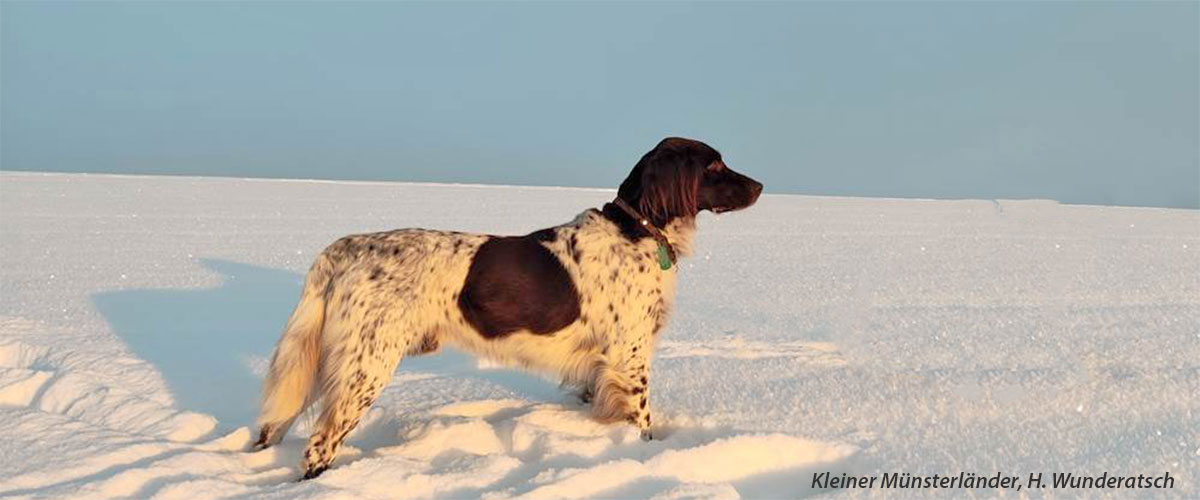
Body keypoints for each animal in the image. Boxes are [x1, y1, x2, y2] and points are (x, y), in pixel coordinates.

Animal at [255, 137, 758, 479]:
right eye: (714, 164)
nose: (760, 184)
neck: (636, 229)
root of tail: (346, 248)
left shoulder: (600, 368)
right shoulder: (628, 356)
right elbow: (642, 420)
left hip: (325, 363)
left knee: (272, 428)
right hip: (365, 366)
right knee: (319, 445)